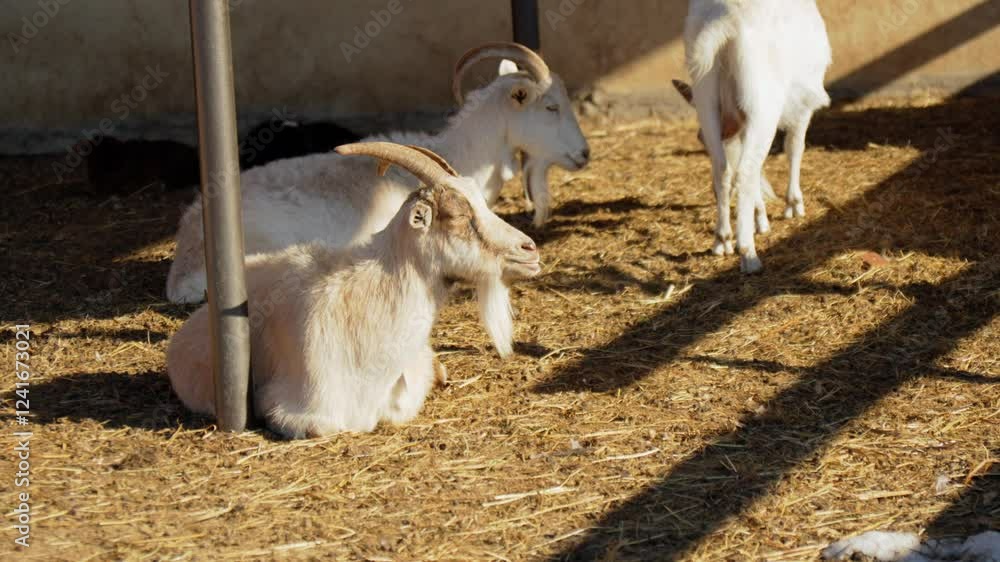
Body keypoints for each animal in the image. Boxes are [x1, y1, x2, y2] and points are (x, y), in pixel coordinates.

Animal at [683, 0, 831, 272]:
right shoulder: (803, 105)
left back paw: (722, 240)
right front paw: (793, 205)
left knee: (722, 169)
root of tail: (725, 24)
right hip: (762, 100)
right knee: (745, 171)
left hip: (706, 96)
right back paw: (748, 254)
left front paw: (761, 216)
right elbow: (795, 148)